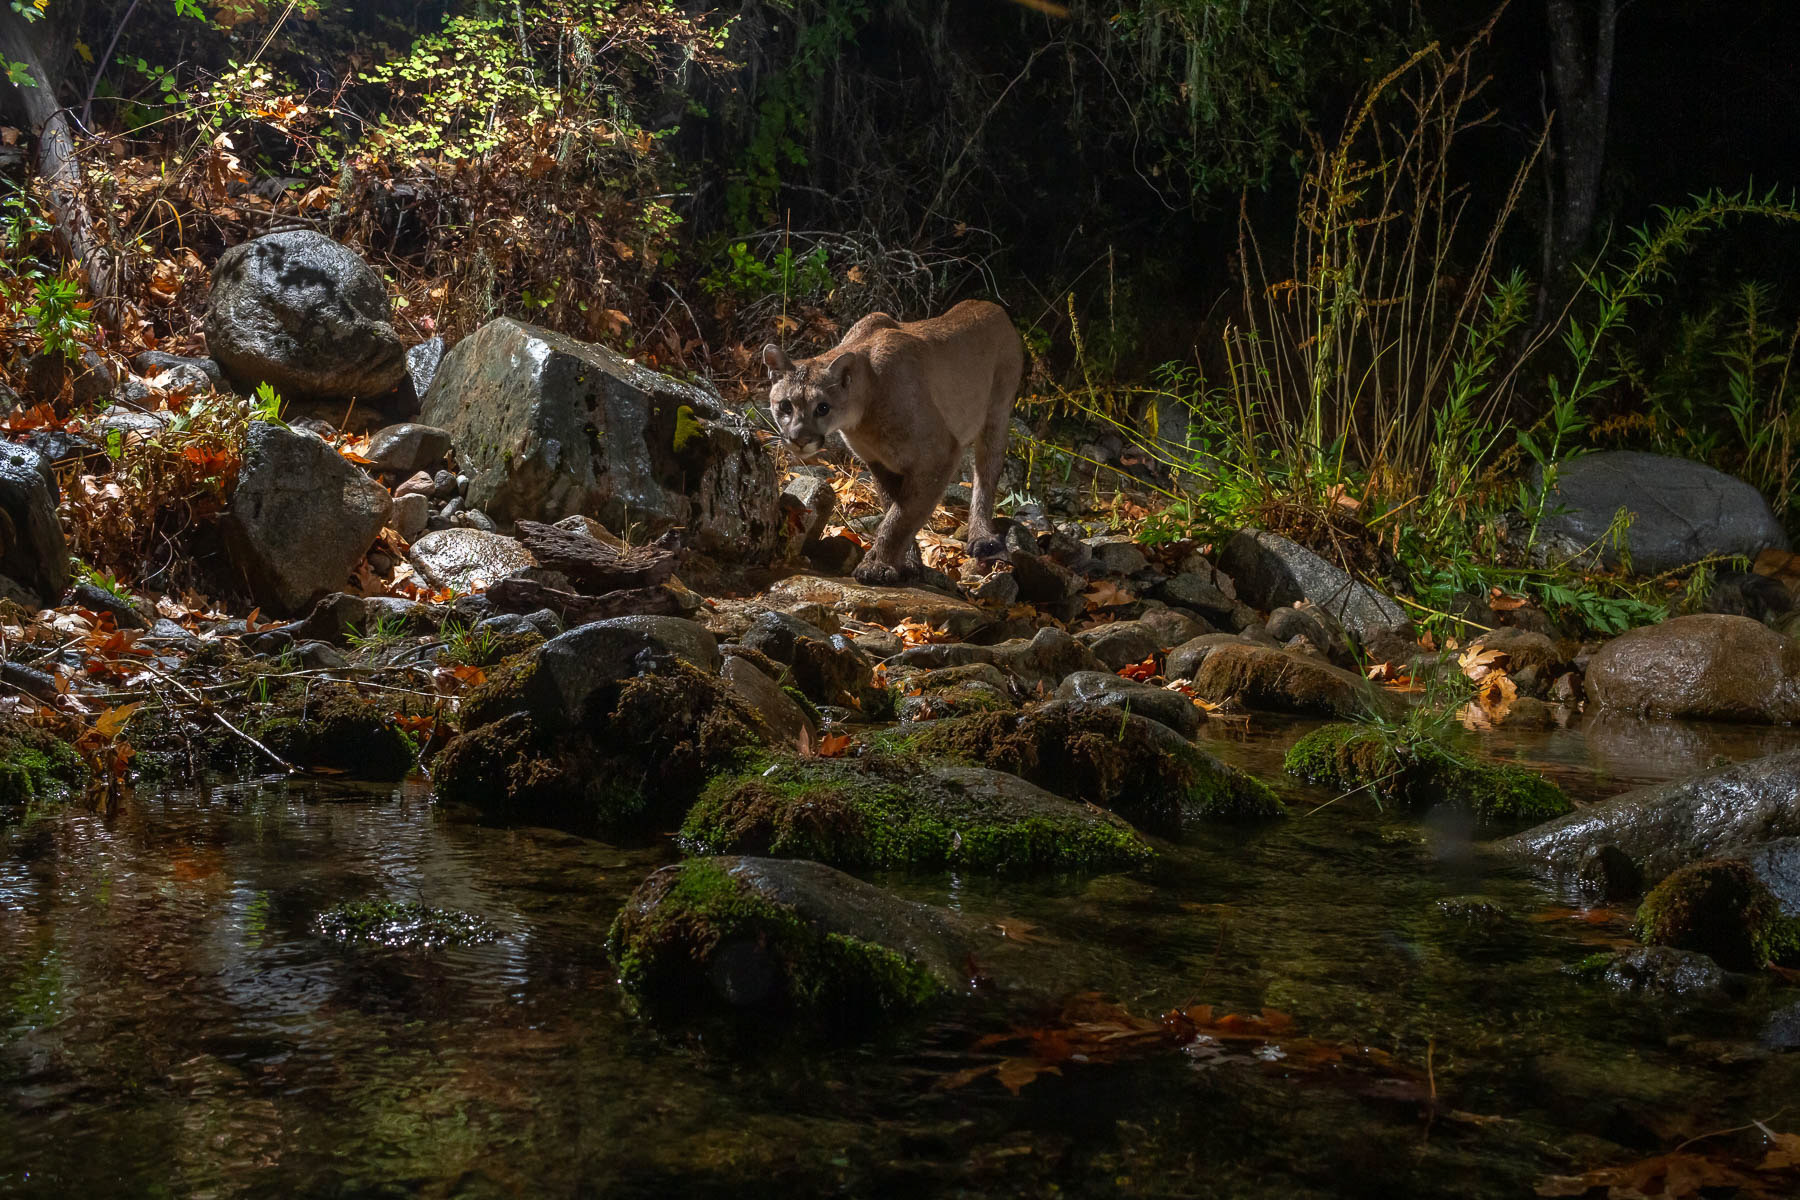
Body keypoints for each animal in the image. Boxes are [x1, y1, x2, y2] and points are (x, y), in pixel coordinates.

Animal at [764, 299, 1023, 586]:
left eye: (822, 408)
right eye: (785, 406)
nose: (799, 439)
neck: (863, 410)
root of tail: (987, 304)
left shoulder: (940, 453)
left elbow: (900, 517)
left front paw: (878, 565)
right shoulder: (878, 461)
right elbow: (895, 507)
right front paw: (906, 563)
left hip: (996, 416)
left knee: (986, 477)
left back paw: (982, 538)